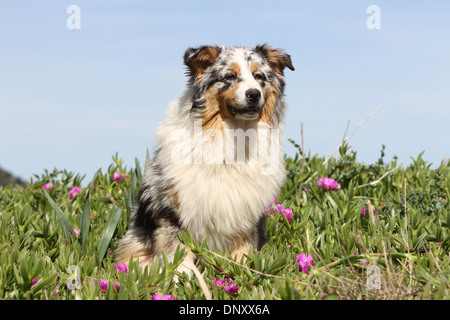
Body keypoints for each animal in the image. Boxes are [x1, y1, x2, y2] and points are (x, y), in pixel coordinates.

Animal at [114, 43, 294, 276]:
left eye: (259, 76)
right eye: (230, 76)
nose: (253, 94)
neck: (234, 135)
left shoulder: (246, 216)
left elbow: (242, 253)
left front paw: (241, 275)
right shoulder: (172, 211)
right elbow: (177, 256)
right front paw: (182, 279)